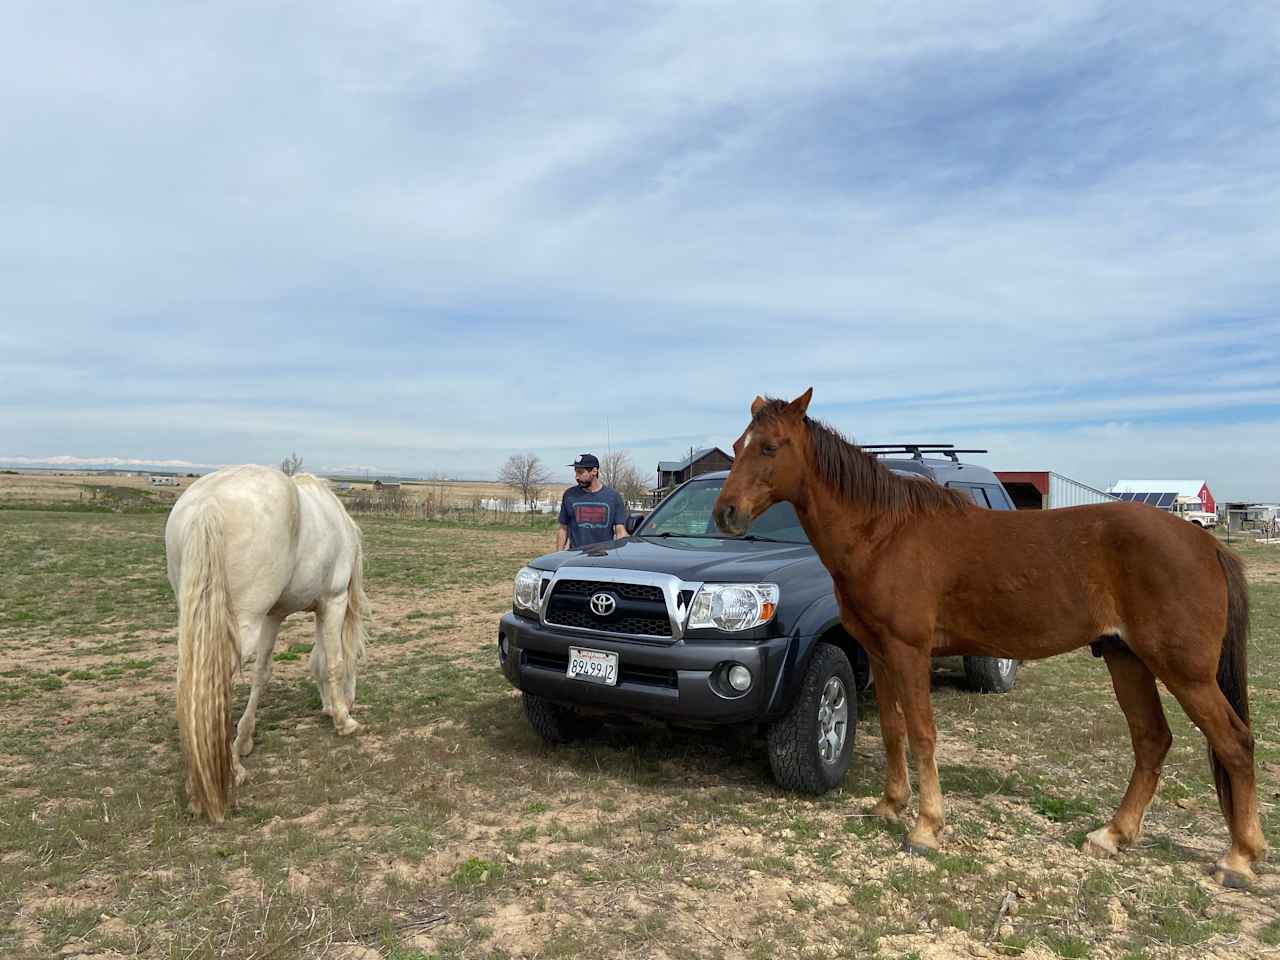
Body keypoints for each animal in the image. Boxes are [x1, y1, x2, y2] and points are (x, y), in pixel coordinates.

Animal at [162, 465, 368, 819]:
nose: (343, 705)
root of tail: (207, 503)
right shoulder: (334, 600)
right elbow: (333, 661)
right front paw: (344, 721)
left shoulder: (274, 615)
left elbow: (264, 673)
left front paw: (244, 738)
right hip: (241, 625)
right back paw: (229, 775)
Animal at [716, 386, 1264, 890]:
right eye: (738, 444)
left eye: (770, 447)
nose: (726, 513)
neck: (884, 534)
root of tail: (1206, 544)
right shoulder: (879, 652)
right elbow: (893, 729)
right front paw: (891, 805)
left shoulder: (908, 652)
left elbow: (922, 733)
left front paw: (926, 828)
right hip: (1125, 658)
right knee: (1152, 740)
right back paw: (1113, 835)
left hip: (1184, 671)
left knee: (1234, 741)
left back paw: (1238, 858)